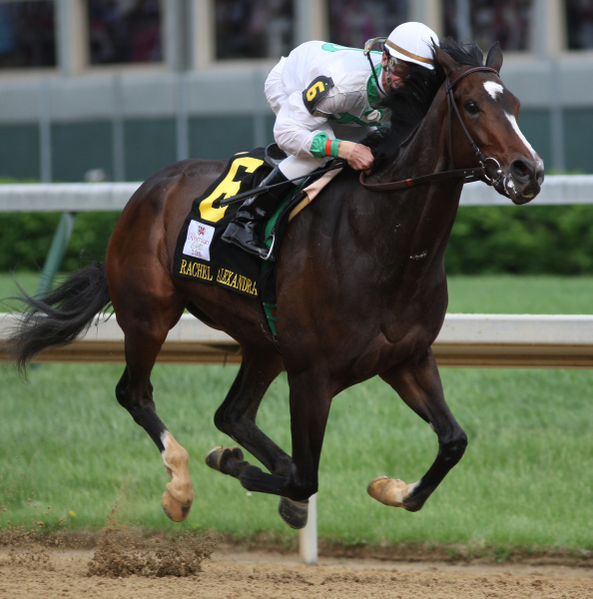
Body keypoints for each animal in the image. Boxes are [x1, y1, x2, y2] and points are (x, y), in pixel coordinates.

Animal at [4, 41, 540, 528]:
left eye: (514, 104)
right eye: (472, 105)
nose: (528, 171)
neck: (382, 240)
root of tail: (149, 188)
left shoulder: (406, 358)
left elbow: (452, 442)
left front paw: (390, 488)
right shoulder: (312, 375)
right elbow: (305, 477)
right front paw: (233, 466)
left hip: (264, 340)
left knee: (232, 414)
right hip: (148, 314)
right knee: (134, 394)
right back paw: (179, 487)